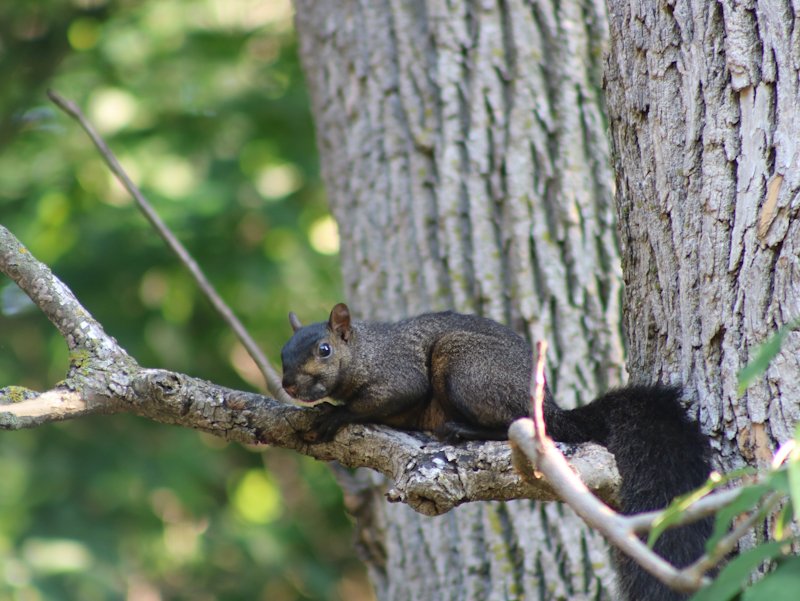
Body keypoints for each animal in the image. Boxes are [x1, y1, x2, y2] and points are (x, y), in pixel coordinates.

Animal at [282, 302, 712, 600]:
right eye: (283, 352)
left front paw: (334, 414)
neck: (364, 352)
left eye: (324, 350)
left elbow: (387, 397)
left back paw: (461, 429)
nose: (287, 384)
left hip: (465, 364)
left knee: (506, 424)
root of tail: (552, 413)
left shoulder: (398, 374)